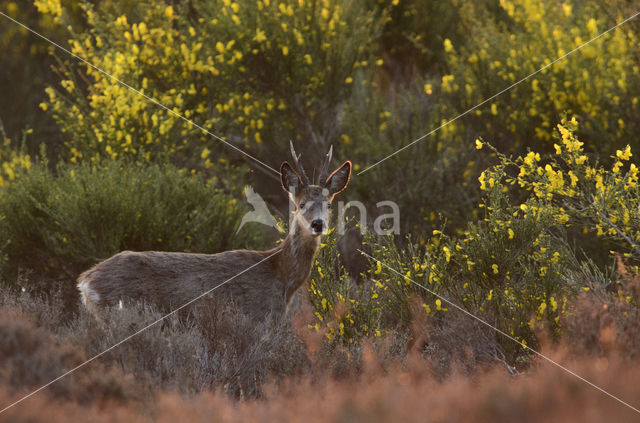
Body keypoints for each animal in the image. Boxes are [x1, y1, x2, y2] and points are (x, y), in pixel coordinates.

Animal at [79, 144, 356, 322]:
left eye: (328, 204)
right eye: (301, 204)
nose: (318, 224)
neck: (281, 275)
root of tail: (85, 281)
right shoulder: (258, 316)